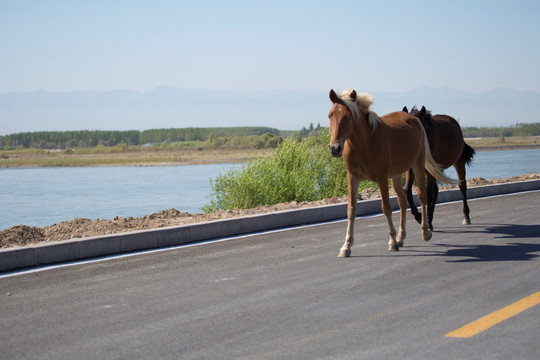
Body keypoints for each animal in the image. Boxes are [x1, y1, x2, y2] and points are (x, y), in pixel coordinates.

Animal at [326, 91, 458, 258]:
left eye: (349, 116)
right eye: (330, 115)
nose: (334, 148)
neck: (365, 144)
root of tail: (414, 120)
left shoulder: (382, 179)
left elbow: (387, 208)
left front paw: (392, 242)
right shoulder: (353, 177)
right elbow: (351, 210)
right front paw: (346, 246)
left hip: (418, 165)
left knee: (422, 196)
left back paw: (425, 232)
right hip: (396, 175)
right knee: (402, 201)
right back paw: (402, 236)